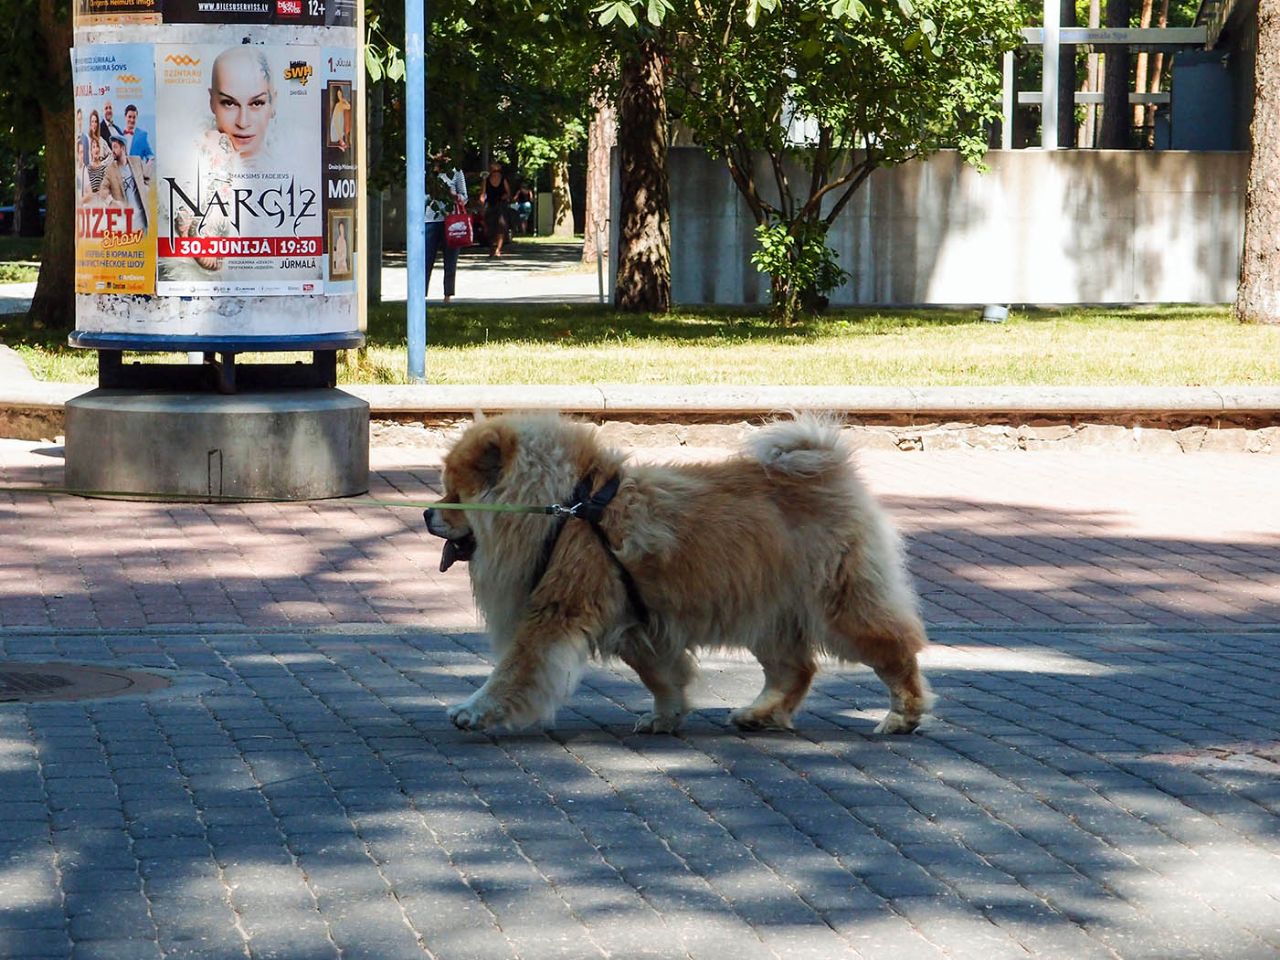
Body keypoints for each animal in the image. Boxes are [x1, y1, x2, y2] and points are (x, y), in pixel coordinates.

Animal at [424, 414, 936, 737]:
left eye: (454, 494)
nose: (428, 512)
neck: (567, 509)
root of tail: (831, 467)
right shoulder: (638, 625)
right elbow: (662, 677)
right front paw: (665, 718)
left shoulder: (556, 612)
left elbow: (514, 670)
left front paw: (473, 711)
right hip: (766, 612)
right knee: (796, 669)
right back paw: (758, 714)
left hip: (840, 607)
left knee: (895, 651)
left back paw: (902, 717)